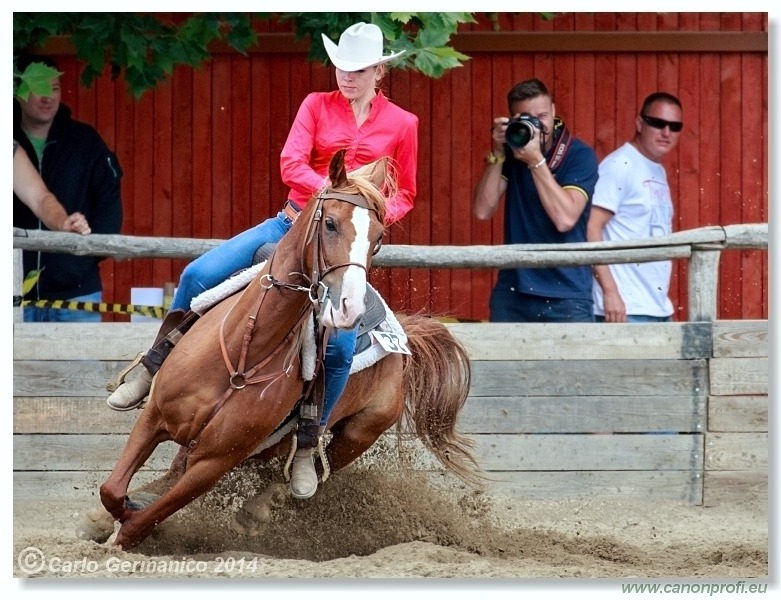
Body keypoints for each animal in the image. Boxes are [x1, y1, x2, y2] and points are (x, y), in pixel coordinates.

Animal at [92, 152, 482, 552]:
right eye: (330, 223)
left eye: (378, 238)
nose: (350, 307)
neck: (244, 355)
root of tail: (403, 336)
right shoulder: (154, 418)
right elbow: (112, 489)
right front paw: (114, 513)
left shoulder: (213, 463)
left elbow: (148, 516)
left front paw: (129, 526)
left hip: (358, 434)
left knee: (311, 474)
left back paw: (263, 506)